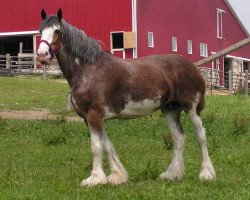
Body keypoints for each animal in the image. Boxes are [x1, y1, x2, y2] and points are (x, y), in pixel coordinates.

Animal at [36, 8, 215, 186]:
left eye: (57, 31)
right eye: (40, 31)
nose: (42, 55)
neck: (87, 69)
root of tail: (192, 67)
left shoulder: (94, 115)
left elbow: (96, 147)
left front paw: (95, 178)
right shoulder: (90, 118)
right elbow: (106, 144)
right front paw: (117, 175)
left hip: (191, 108)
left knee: (200, 135)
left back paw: (206, 174)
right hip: (170, 109)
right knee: (179, 137)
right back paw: (172, 174)